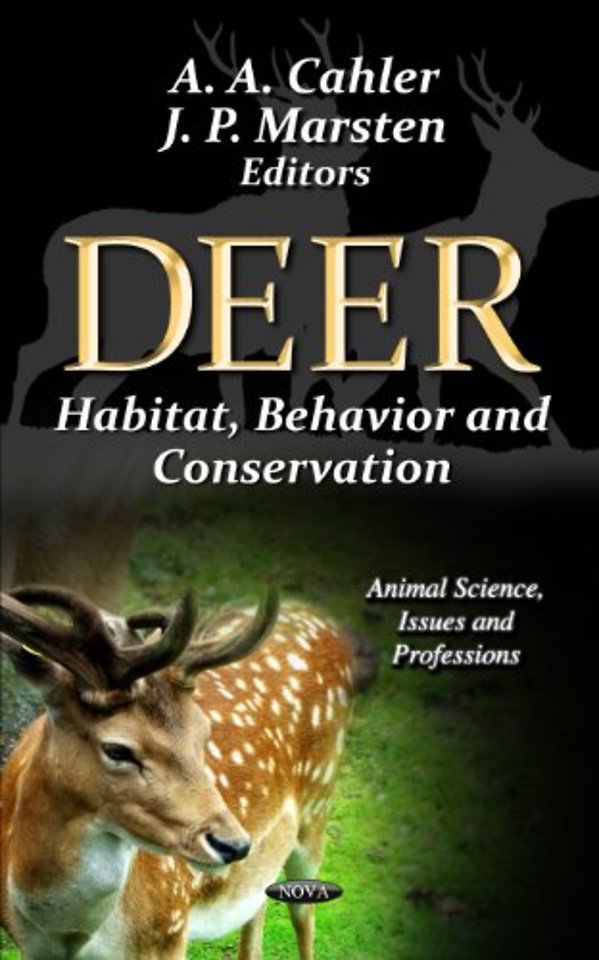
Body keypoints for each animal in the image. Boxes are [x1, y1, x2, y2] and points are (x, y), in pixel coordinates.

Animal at [0, 584, 374, 959]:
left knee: (305, 913)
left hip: (318, 805)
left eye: (203, 733)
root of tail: (327, 623)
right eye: (117, 749)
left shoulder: (168, 930)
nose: (234, 845)